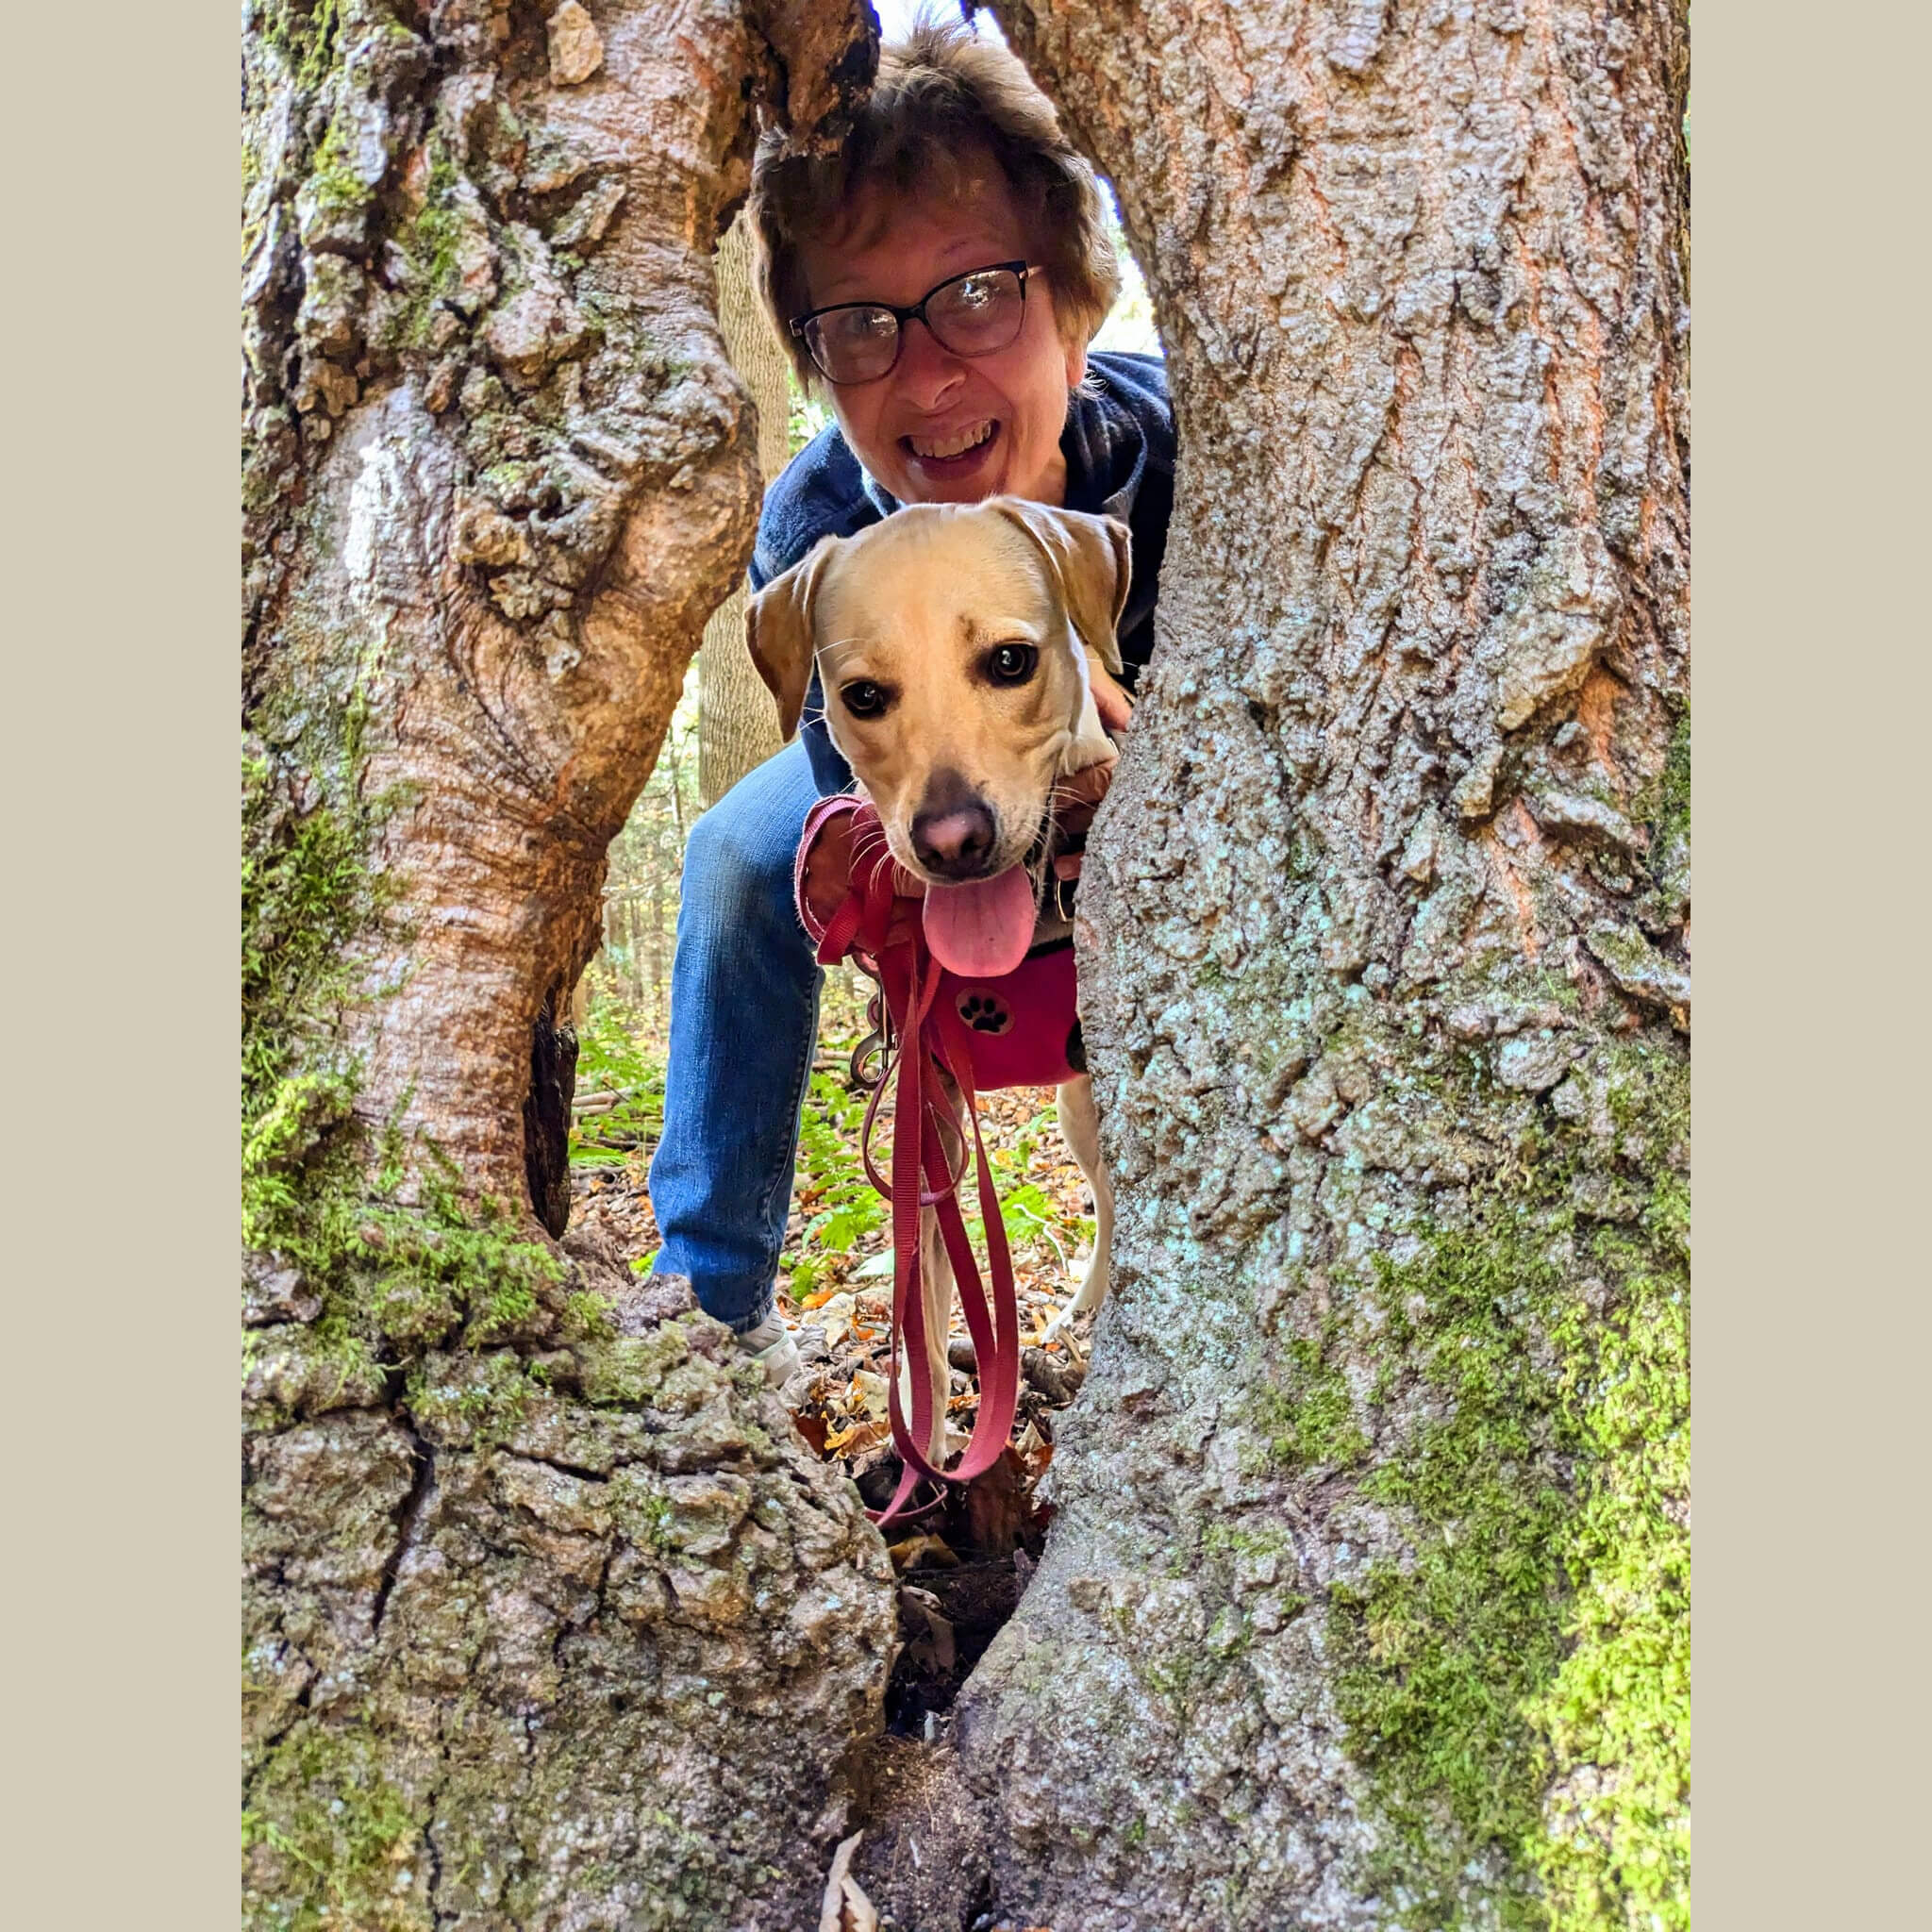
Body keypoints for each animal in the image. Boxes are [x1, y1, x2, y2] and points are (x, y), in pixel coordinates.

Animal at [746, 496, 1129, 1460]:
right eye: (863, 698)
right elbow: (925, 1303)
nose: (954, 842)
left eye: (1011, 661)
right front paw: (928, 1445)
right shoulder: (928, 1114)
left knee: (1111, 1202)